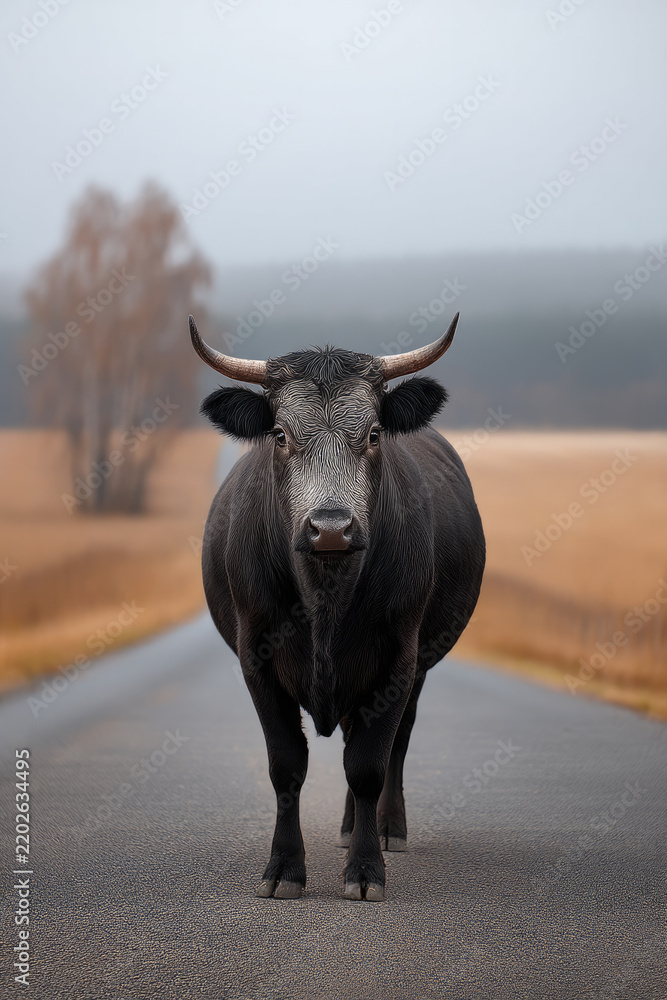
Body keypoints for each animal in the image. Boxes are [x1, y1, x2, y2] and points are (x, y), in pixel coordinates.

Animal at [190, 312, 485, 901]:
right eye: (281, 435)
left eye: (371, 434)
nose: (330, 527)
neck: (326, 595)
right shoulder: (256, 660)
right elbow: (286, 766)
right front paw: (283, 868)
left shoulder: (397, 661)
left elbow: (368, 765)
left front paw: (366, 871)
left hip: (414, 668)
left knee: (392, 746)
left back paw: (382, 828)